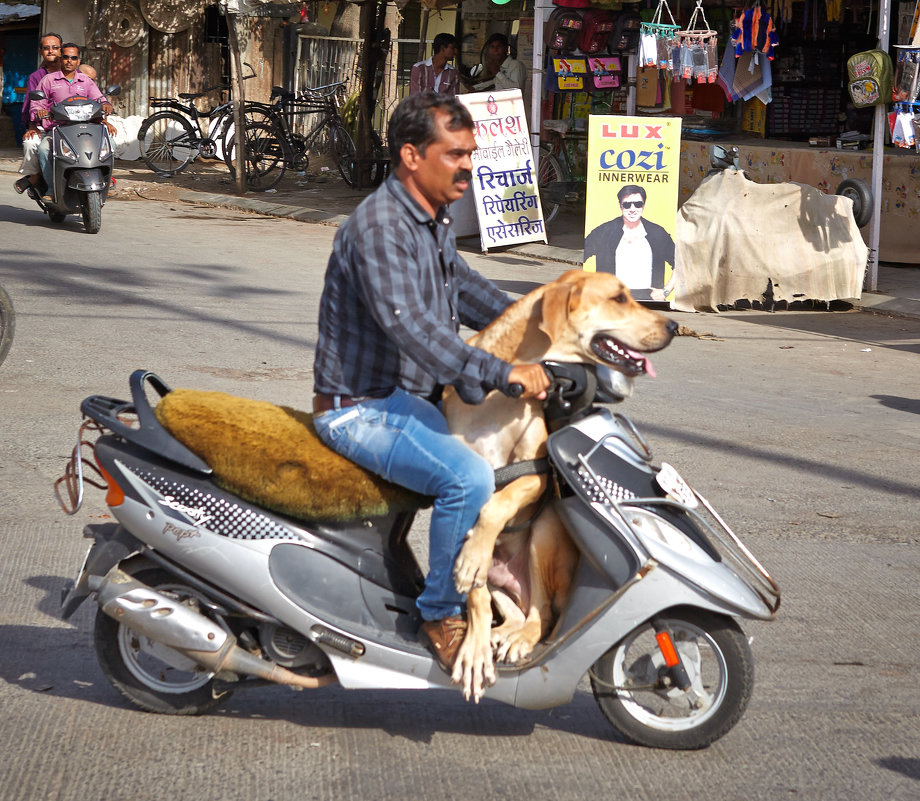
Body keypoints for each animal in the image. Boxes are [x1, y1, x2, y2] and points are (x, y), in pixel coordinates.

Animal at [438, 266, 676, 696]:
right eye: (619, 298)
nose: (674, 325)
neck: (500, 394)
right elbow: (475, 589)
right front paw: (474, 647)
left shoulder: (534, 475)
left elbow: (499, 502)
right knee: (518, 610)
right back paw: (501, 633)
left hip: (544, 533)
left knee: (543, 614)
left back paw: (520, 637)